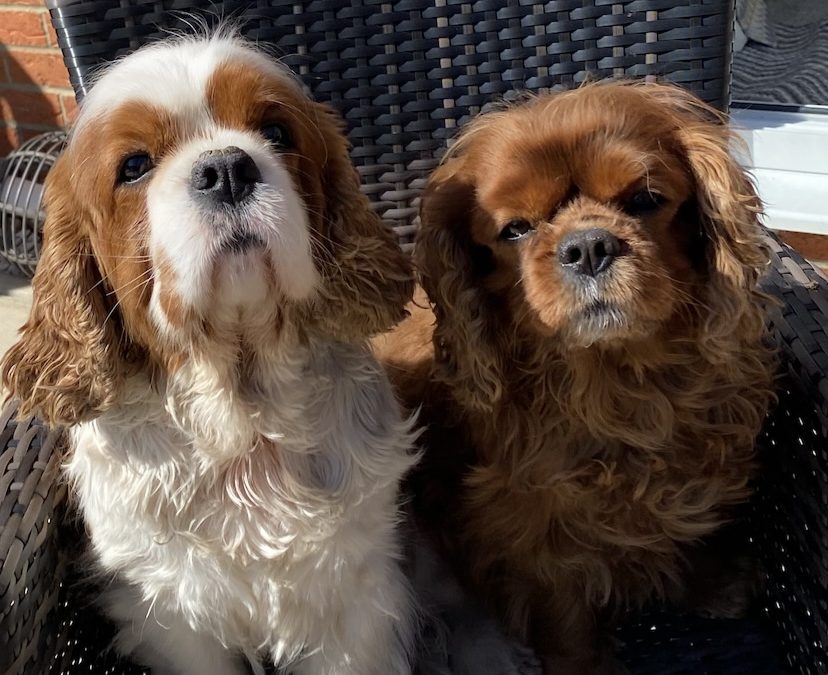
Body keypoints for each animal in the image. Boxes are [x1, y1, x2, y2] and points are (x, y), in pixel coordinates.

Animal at [376, 82, 776, 672]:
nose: (588, 246)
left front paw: (711, 582)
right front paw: (582, 663)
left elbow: (684, 526)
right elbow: (562, 604)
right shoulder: (532, 522)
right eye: (515, 230)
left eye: (644, 200)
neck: (616, 377)